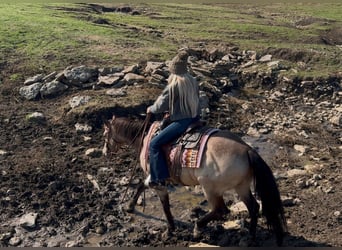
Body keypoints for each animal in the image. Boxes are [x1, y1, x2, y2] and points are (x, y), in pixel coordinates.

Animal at [103, 115, 288, 246]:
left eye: (105, 134)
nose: (105, 152)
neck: (146, 139)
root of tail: (247, 150)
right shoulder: (154, 177)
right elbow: (141, 186)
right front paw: (130, 206)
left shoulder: (157, 180)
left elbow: (163, 203)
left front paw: (169, 230)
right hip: (241, 187)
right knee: (253, 207)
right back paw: (250, 237)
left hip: (210, 188)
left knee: (221, 210)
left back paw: (198, 228)